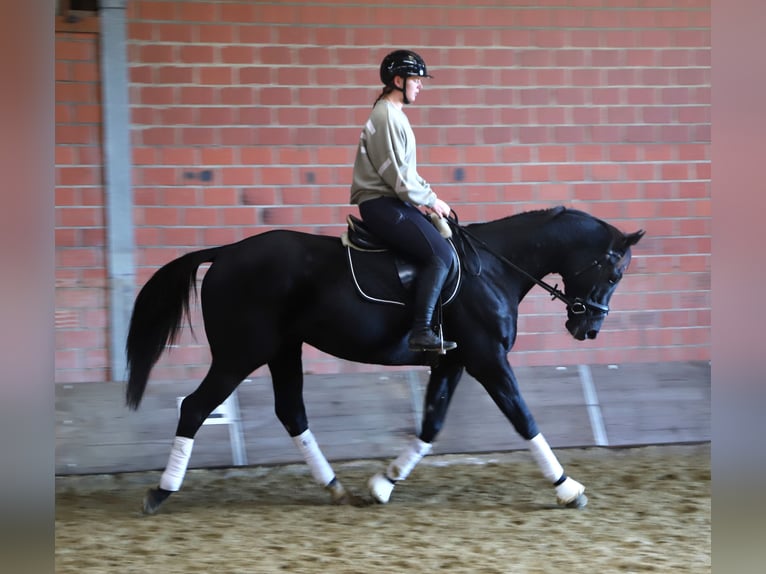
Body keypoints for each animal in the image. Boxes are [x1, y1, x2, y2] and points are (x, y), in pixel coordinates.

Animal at [125, 206, 644, 514]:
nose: (588, 329)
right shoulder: (488, 359)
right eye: (614, 273)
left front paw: (384, 483)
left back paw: (335, 487)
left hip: (282, 350)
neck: (495, 269)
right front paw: (566, 486)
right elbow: (523, 418)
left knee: (291, 412)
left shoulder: (452, 363)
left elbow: (431, 425)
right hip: (240, 354)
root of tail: (228, 252)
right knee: (195, 407)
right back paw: (160, 491)